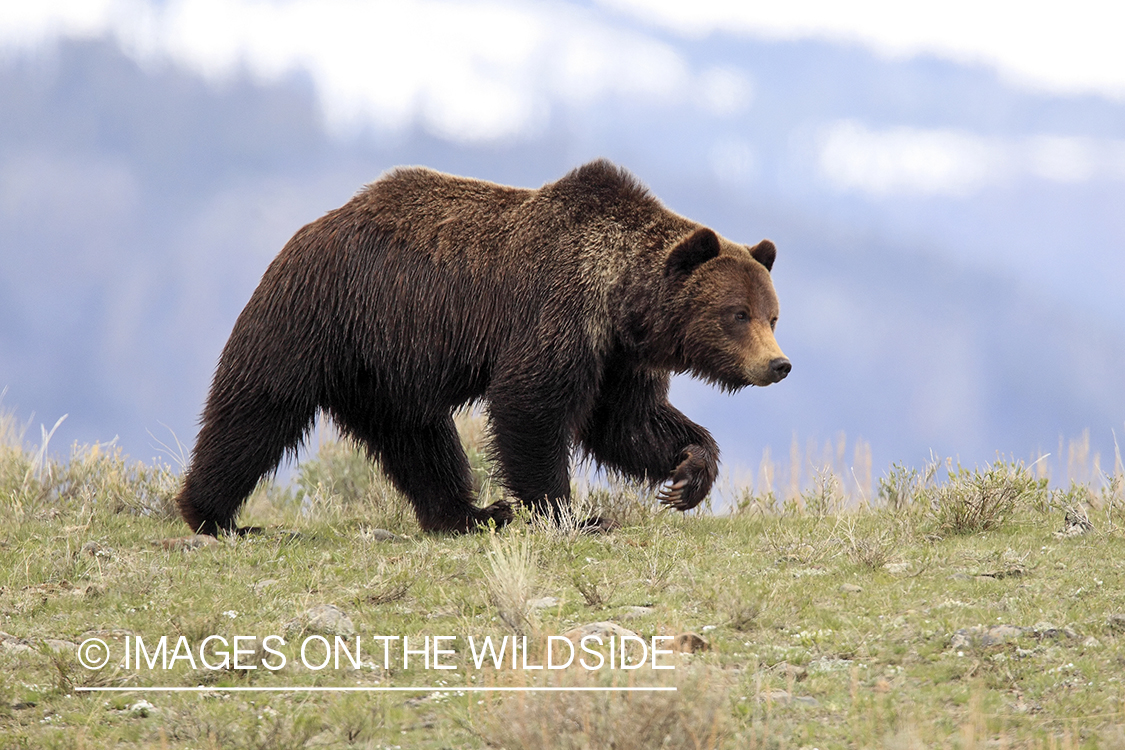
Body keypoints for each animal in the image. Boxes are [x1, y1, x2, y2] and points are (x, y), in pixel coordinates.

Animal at [177, 158, 792, 537]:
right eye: (736, 314)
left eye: (772, 315)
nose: (778, 364)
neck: (621, 300)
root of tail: (312, 228)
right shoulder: (558, 312)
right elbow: (530, 405)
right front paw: (571, 514)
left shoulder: (617, 357)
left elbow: (627, 422)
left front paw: (688, 474)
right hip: (318, 317)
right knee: (256, 408)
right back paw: (214, 514)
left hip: (387, 367)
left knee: (419, 439)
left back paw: (467, 512)